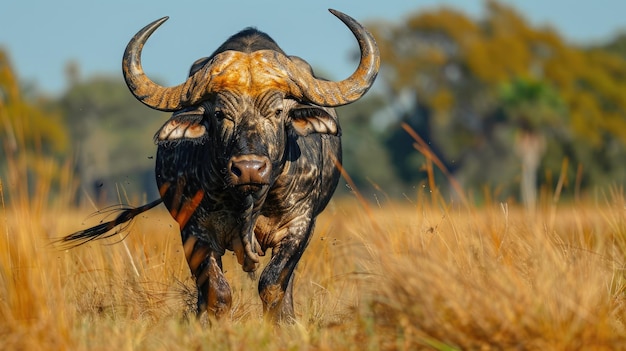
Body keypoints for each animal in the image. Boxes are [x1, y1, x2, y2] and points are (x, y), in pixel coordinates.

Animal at [61, 8, 378, 324]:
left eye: (278, 111)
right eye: (220, 113)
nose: (249, 168)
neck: (248, 202)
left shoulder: (299, 224)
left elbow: (273, 283)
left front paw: (282, 322)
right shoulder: (194, 229)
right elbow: (217, 291)